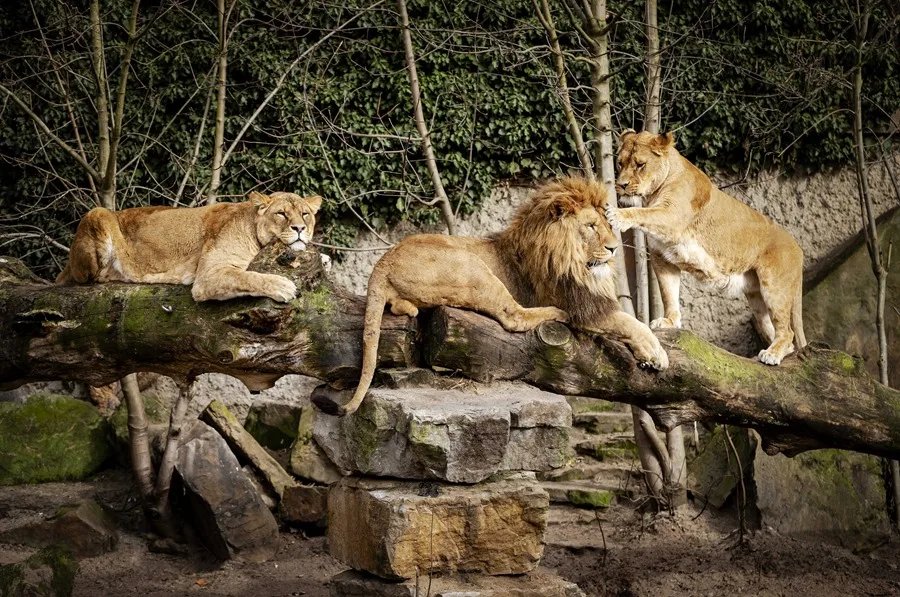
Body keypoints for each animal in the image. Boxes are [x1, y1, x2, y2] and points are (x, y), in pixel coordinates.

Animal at [56, 191, 322, 303]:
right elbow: (248, 277)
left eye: (305, 214)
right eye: (281, 214)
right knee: (87, 277)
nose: (299, 228)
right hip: (98, 212)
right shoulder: (209, 275)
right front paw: (283, 286)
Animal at [335, 176, 669, 416]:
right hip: (473, 266)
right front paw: (656, 354)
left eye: (605, 226)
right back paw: (554, 314)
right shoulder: (580, 306)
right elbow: (628, 322)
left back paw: (408, 308)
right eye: (590, 226)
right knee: (514, 317)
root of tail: (382, 262)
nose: (614, 248)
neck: (570, 261)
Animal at [607, 130, 806, 365]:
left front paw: (616, 214)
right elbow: (668, 293)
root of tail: (798, 248)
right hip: (757, 300)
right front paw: (670, 322)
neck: (652, 194)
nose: (621, 185)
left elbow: (643, 214)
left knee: (788, 332)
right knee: (782, 336)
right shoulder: (662, 257)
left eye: (640, 164)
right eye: (620, 163)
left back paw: (772, 355)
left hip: (774, 287)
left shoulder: (672, 216)